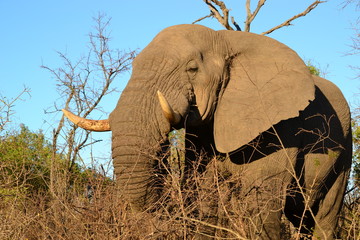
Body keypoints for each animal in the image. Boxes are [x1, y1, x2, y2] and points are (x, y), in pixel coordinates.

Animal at [62, 23, 352, 238]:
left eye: (192, 69)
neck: (224, 40)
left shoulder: (279, 128)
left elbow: (261, 205)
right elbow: (203, 197)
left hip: (345, 151)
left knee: (325, 215)